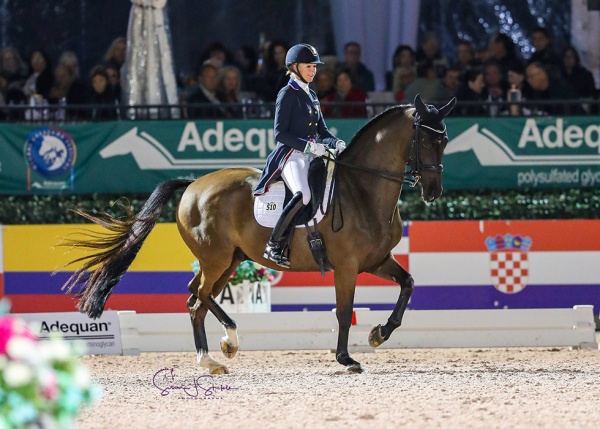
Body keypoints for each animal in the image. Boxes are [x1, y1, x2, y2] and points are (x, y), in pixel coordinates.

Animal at [62, 93, 454, 372]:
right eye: (425, 140)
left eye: (445, 140)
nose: (433, 191)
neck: (362, 189)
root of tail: (193, 185)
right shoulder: (346, 266)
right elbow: (344, 311)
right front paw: (346, 359)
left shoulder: (376, 260)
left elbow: (408, 285)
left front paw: (378, 334)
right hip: (217, 258)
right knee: (199, 295)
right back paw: (229, 341)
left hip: (230, 261)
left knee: (197, 299)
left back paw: (211, 358)